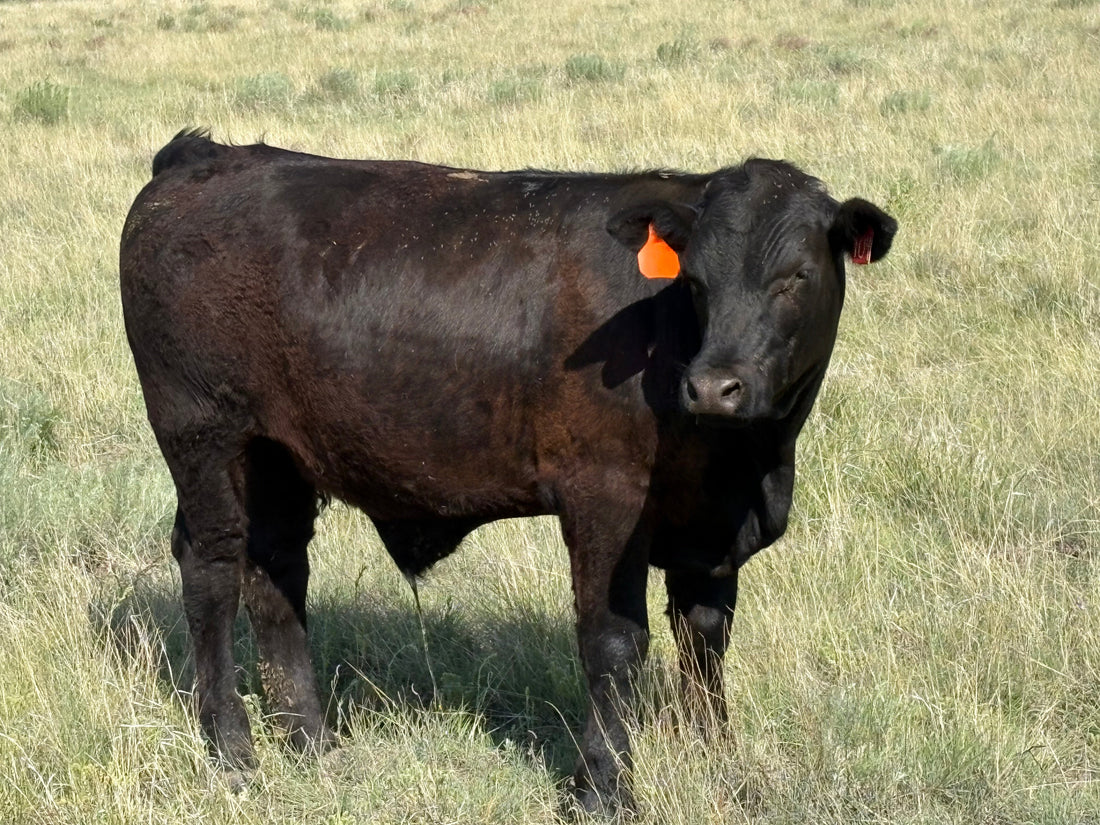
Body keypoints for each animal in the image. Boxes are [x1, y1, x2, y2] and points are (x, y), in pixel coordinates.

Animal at [119, 129, 896, 814]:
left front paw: (718, 763)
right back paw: (233, 751)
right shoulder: (604, 497)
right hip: (204, 435)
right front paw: (603, 789)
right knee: (213, 569)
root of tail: (203, 158)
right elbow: (614, 641)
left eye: (796, 277)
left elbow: (705, 641)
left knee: (276, 570)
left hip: (276, 455)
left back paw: (314, 744)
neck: (748, 463)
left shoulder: (710, 528)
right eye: (697, 282)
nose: (713, 387)